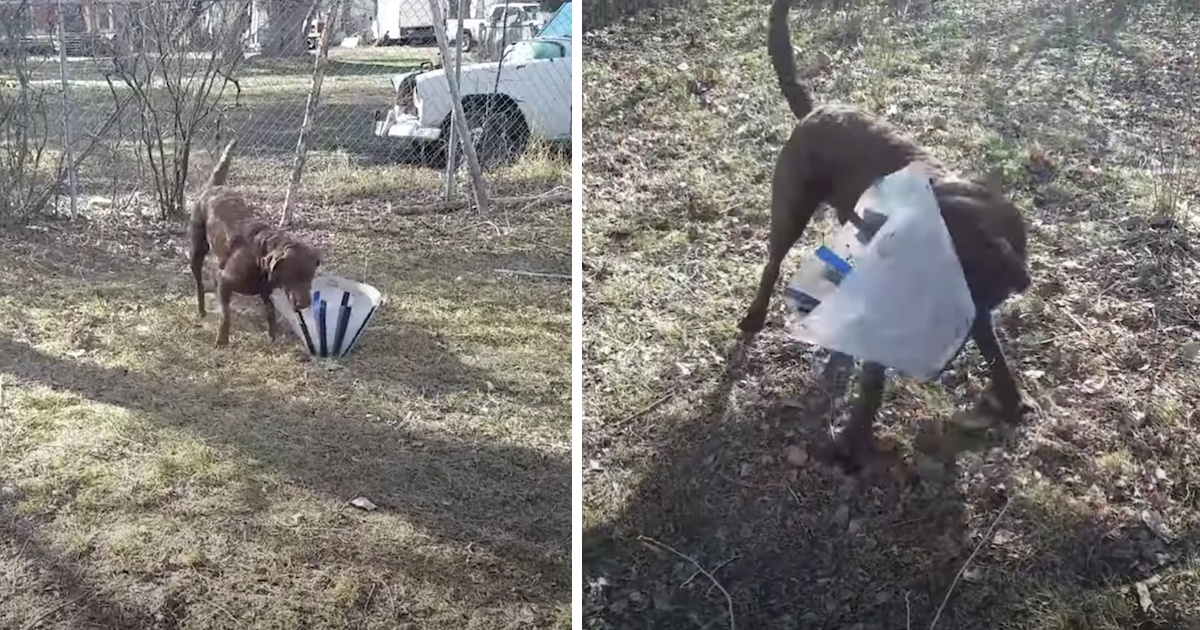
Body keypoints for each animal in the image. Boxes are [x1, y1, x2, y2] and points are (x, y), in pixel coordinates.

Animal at [188, 141, 321, 345]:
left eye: (310, 275)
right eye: (293, 275)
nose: (305, 304)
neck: (259, 257)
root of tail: (214, 186)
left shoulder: (267, 292)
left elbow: (270, 312)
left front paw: (273, 336)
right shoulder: (225, 282)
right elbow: (226, 314)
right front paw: (222, 340)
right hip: (197, 249)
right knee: (199, 282)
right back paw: (201, 309)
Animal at [739, 0, 1032, 465]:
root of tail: (818, 110)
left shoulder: (978, 312)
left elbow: (998, 360)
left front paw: (1009, 402)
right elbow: (874, 382)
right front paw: (851, 444)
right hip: (790, 212)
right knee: (772, 264)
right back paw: (757, 316)